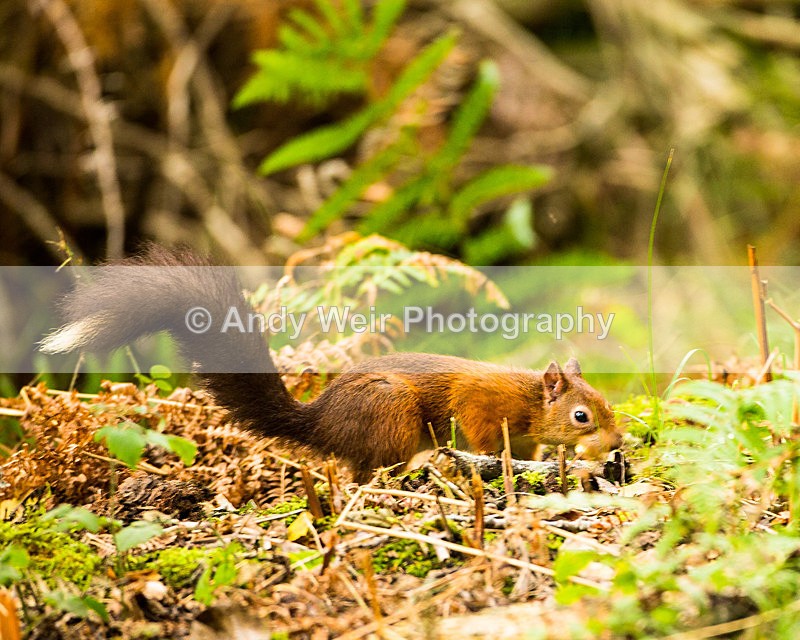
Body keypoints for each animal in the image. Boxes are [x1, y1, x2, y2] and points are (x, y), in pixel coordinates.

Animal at [40, 245, 622, 484]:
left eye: (606, 404)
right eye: (581, 416)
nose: (618, 444)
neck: (529, 401)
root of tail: (320, 421)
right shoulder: (480, 404)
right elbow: (481, 434)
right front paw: (490, 461)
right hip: (391, 414)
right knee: (368, 470)